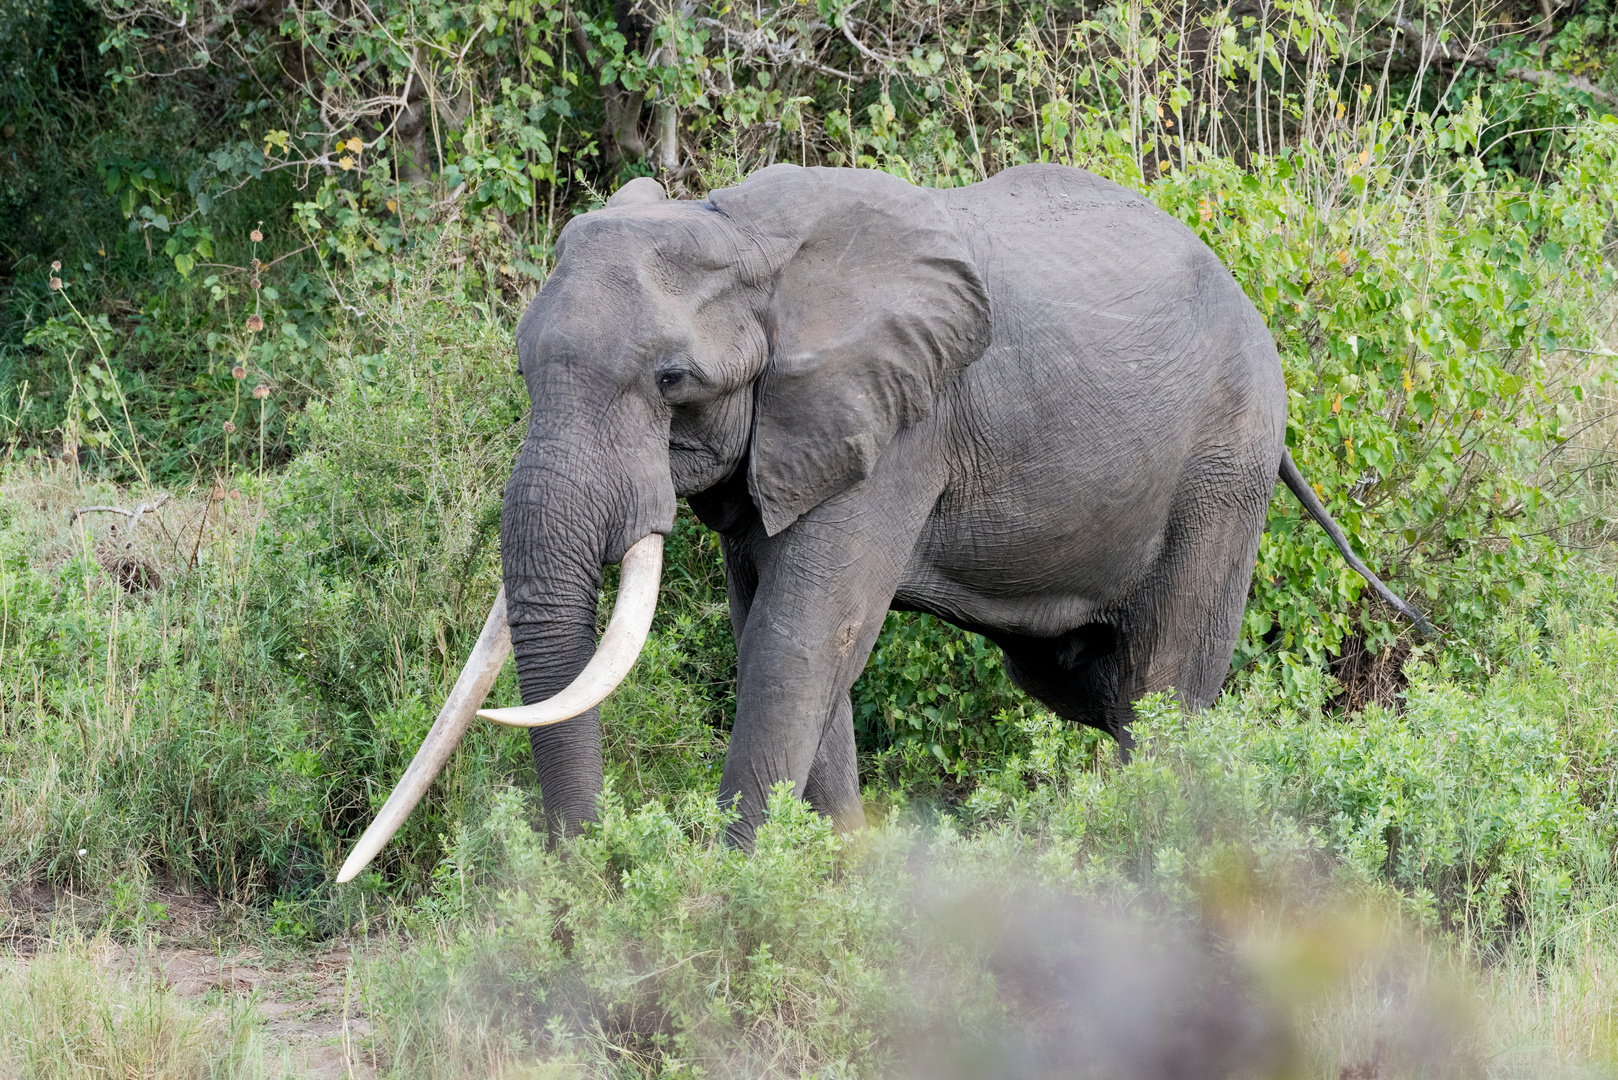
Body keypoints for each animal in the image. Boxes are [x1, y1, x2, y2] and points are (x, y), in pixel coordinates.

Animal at [334, 162, 1423, 880]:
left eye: (673, 381)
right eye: (523, 368)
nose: (582, 887)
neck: (740, 235)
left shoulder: (897, 427)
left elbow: (804, 634)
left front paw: (740, 893)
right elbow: (776, 630)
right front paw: (835, 876)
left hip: (1223, 463)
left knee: (1161, 687)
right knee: (1088, 680)